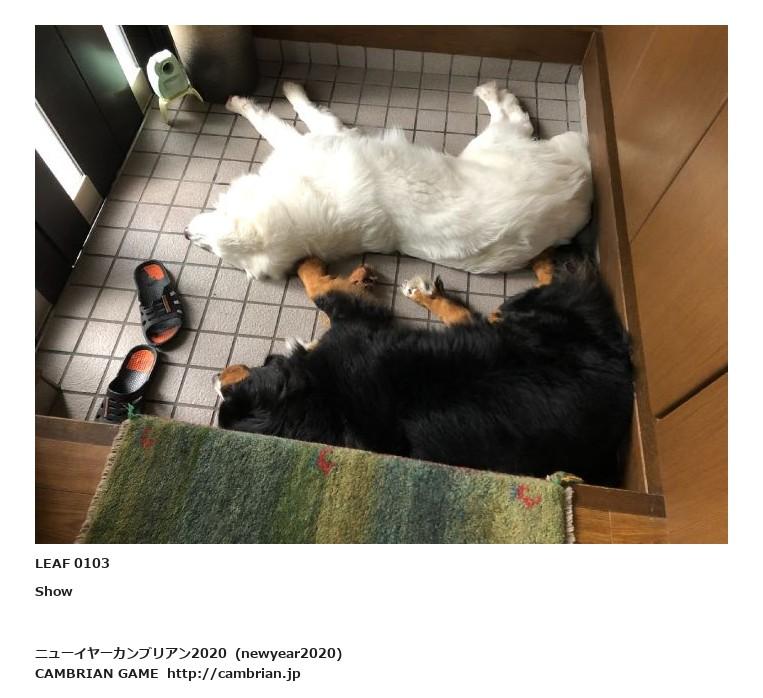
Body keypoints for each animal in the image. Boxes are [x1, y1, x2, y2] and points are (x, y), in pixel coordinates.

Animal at [185, 81, 592, 280]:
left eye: (210, 243)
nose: (186, 235)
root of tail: (575, 188)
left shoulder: (322, 137)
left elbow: (280, 118)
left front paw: (263, 98)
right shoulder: (321, 138)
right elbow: (280, 120)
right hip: (493, 145)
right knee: (514, 117)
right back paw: (491, 92)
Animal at [215, 250, 633, 486]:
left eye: (226, 399)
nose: (215, 377)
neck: (318, 400)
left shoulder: (352, 324)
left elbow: (318, 287)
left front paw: (307, 262)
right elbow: (325, 290)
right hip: (526, 321)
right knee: (493, 311)